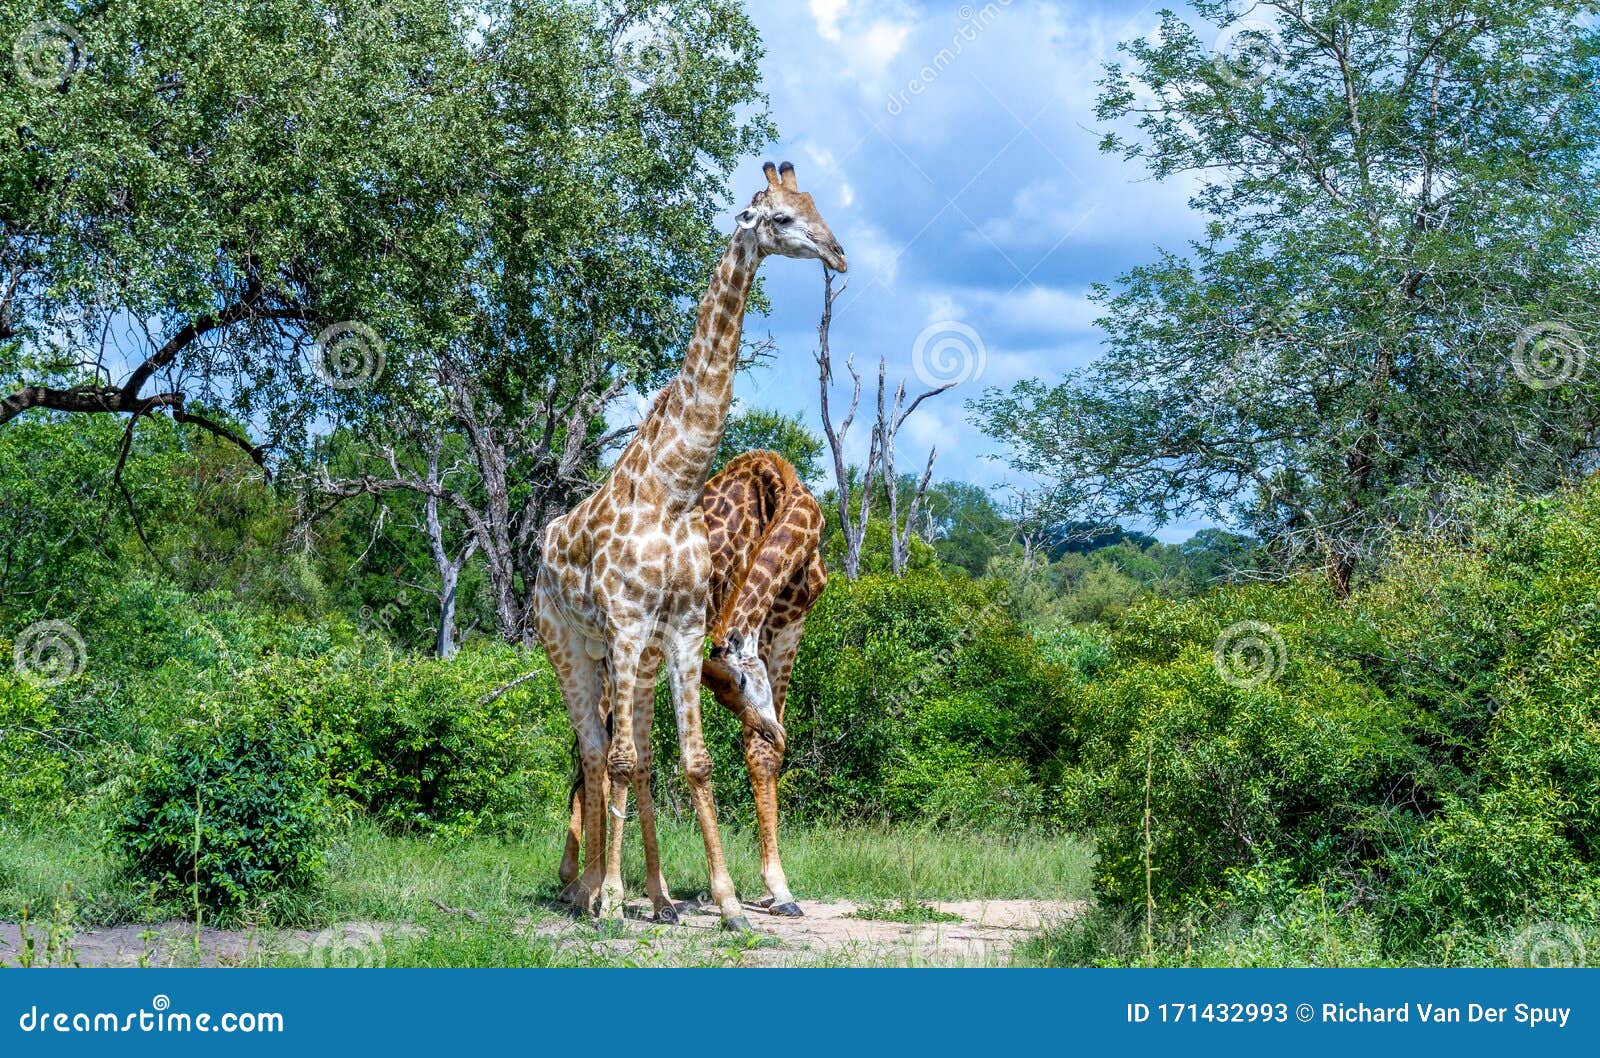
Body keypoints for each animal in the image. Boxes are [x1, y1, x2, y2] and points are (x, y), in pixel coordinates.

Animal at [563, 444, 832, 915]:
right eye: (734, 685)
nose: (776, 732)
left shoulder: (788, 624)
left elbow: (761, 754)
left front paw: (779, 890)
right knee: (600, 749)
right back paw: (587, 888)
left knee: (600, 746)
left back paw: (588, 886)